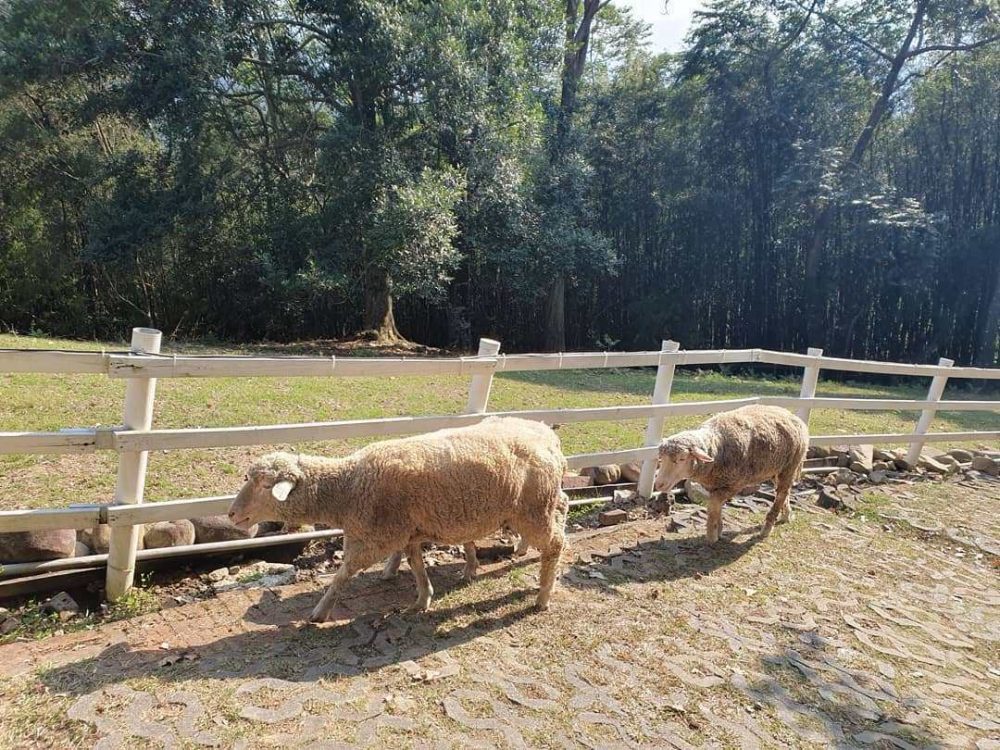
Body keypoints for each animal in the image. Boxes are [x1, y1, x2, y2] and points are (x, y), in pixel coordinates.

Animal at [229, 418, 568, 624]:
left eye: (264, 485)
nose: (231, 514)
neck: (349, 488)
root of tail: (548, 435)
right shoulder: (405, 531)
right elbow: (415, 563)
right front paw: (422, 598)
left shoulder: (375, 538)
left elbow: (342, 575)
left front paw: (319, 612)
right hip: (539, 503)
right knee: (562, 509)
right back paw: (517, 556)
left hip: (533, 507)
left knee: (555, 542)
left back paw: (542, 595)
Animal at [652, 406, 808, 548]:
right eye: (662, 458)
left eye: (682, 459)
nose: (658, 484)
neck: (717, 448)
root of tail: (794, 417)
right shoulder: (714, 485)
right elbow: (717, 506)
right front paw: (719, 529)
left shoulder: (734, 484)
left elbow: (713, 505)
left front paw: (712, 535)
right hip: (778, 469)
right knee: (785, 492)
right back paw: (786, 515)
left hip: (789, 466)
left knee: (781, 494)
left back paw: (766, 529)